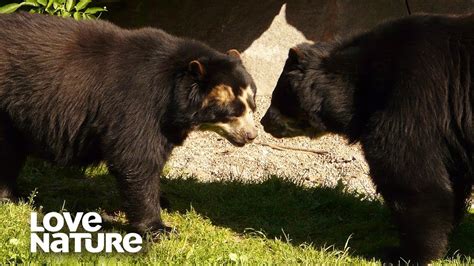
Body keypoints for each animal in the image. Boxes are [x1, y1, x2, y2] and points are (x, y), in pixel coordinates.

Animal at [0, 13, 260, 235]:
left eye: (252, 105)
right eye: (233, 111)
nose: (251, 135)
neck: (174, 94)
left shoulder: (166, 122)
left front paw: (164, 201)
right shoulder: (137, 102)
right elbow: (136, 157)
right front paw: (159, 228)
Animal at [262, 13, 474, 264]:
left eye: (277, 95)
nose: (263, 122)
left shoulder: (413, 100)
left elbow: (410, 174)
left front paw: (405, 253)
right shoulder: (449, 132)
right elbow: (450, 178)